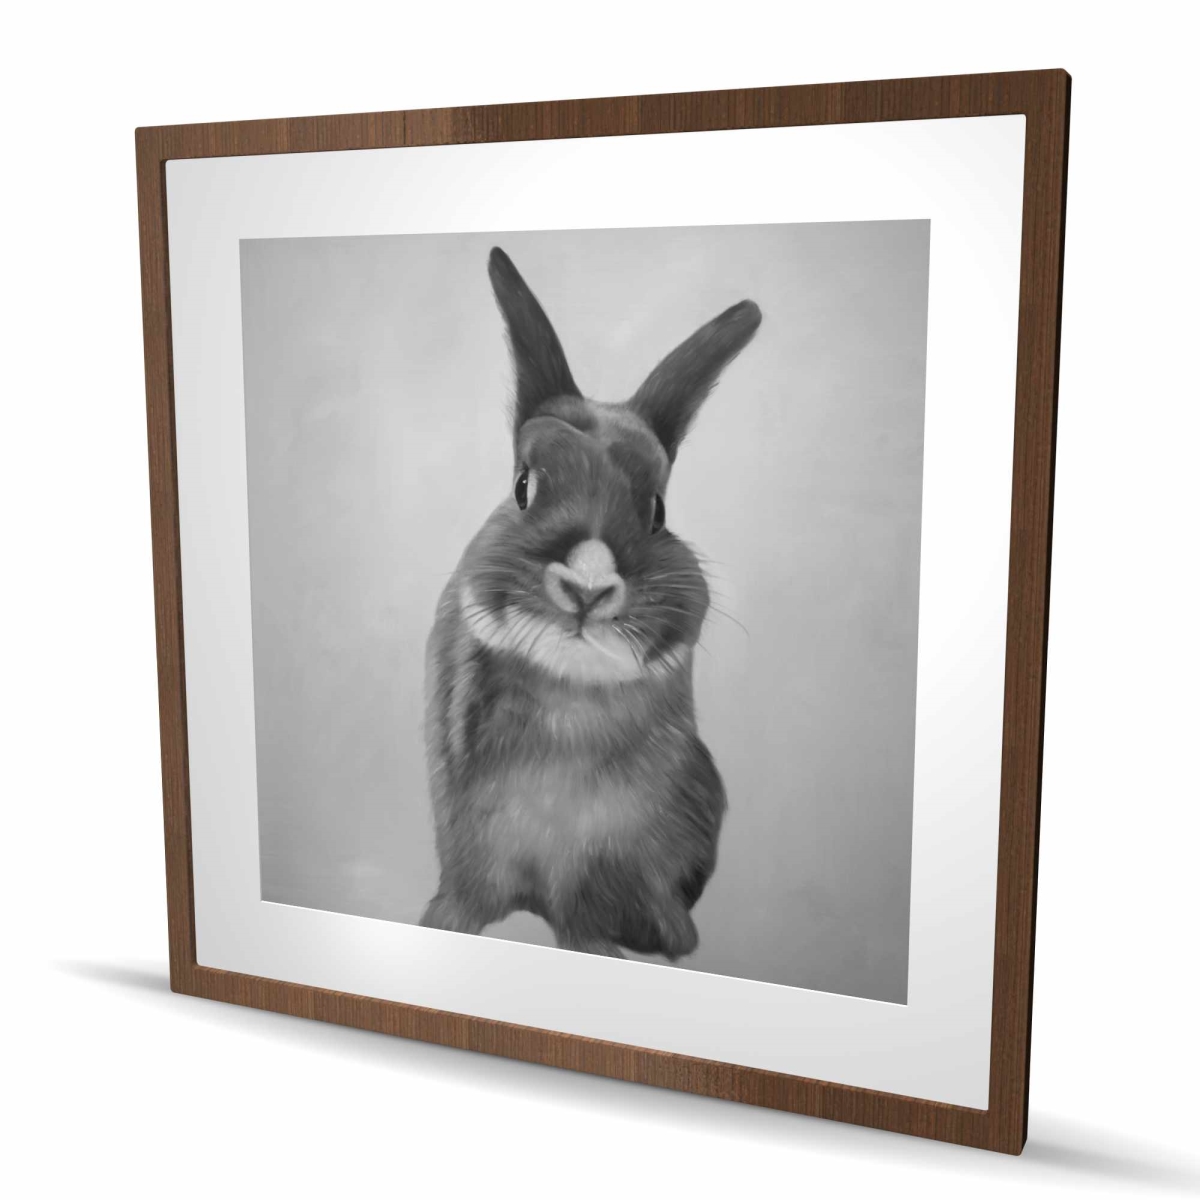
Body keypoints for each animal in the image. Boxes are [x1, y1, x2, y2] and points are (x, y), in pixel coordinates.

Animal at [420, 246, 761, 960]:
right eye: (523, 486)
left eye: (657, 512)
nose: (588, 587)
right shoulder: (470, 848)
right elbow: (467, 899)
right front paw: (441, 925)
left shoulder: (601, 867)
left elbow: (587, 920)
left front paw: (615, 950)